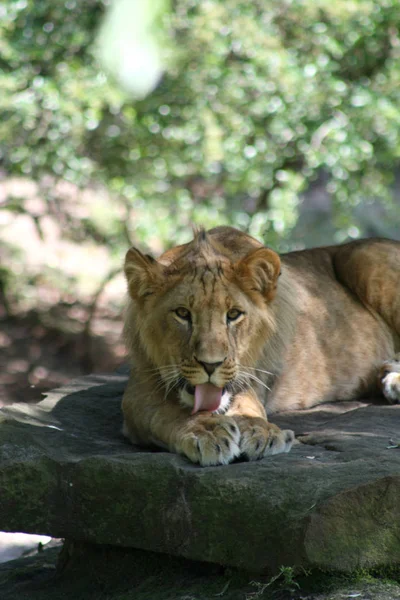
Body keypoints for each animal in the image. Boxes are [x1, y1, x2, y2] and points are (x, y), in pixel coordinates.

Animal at [122, 227, 400, 466]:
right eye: (182, 313)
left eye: (233, 314)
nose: (211, 365)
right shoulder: (138, 392)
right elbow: (170, 412)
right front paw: (208, 432)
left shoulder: (253, 376)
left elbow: (249, 404)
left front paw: (260, 431)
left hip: (365, 257)